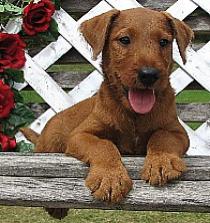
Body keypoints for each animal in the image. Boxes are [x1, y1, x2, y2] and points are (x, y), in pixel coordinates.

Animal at [20, 7, 192, 220]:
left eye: (164, 42)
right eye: (124, 40)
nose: (149, 74)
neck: (133, 115)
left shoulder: (178, 132)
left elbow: (162, 136)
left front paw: (162, 162)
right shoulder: (80, 135)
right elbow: (103, 145)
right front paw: (110, 178)